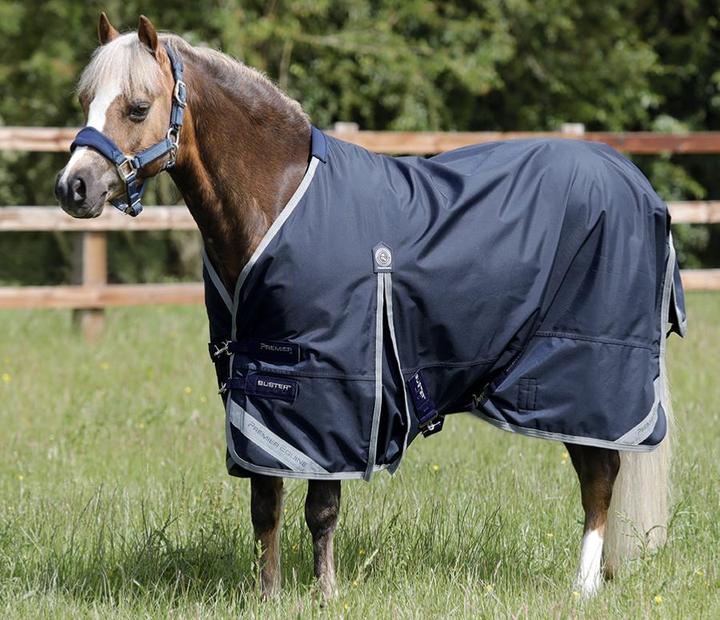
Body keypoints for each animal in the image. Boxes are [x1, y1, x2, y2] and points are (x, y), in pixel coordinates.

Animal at [55, 14, 684, 600]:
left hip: (584, 379)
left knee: (599, 475)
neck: (279, 197)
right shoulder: (258, 383)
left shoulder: (331, 391)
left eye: (138, 107)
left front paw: (327, 594)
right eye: (86, 101)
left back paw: (583, 586)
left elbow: (321, 509)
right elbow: (265, 502)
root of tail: (635, 180)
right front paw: (267, 595)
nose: (72, 187)